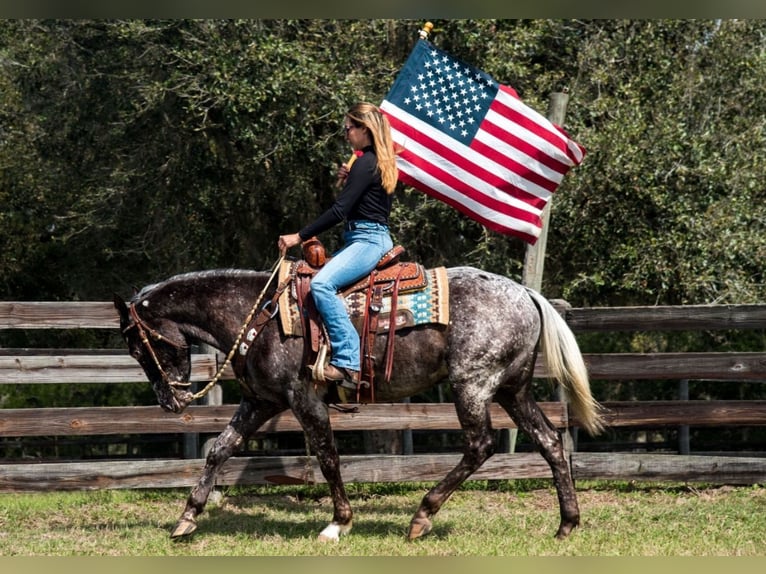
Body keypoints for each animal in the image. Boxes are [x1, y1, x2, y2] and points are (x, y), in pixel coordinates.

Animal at [114, 264, 608, 544]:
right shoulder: (260, 402)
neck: (258, 316)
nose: (170, 401)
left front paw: (339, 523)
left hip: (472, 384)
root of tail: (526, 294)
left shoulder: (303, 399)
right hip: (513, 389)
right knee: (549, 441)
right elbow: (219, 449)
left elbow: (329, 458)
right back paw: (567, 524)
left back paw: (422, 516)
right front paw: (187, 518)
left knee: (480, 445)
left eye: (137, 346)